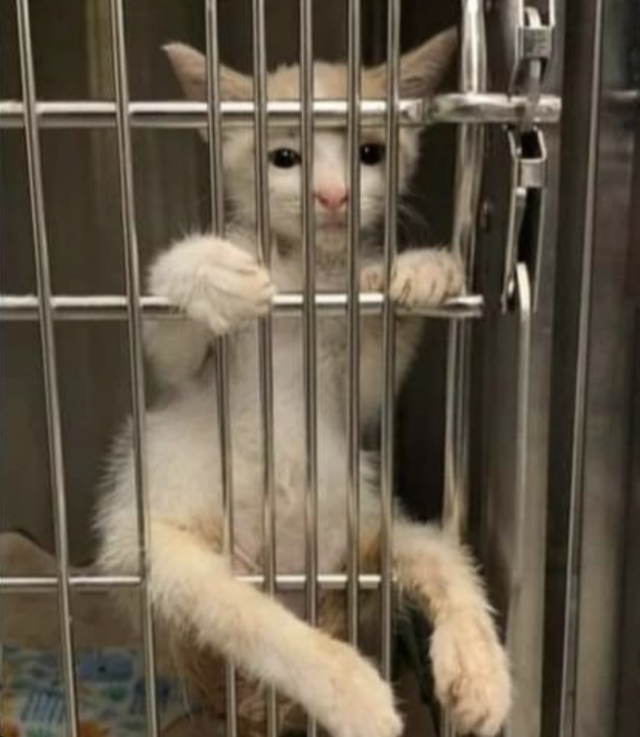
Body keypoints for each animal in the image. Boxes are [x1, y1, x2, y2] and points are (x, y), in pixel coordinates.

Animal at [94, 28, 510, 737]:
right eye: (283, 157)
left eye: (370, 153)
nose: (334, 196)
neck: (307, 272)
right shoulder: (182, 369)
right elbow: (167, 336)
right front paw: (211, 273)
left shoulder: (356, 385)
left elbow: (372, 375)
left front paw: (422, 271)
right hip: (162, 550)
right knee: (248, 619)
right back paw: (354, 693)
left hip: (364, 526)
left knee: (436, 555)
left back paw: (477, 670)